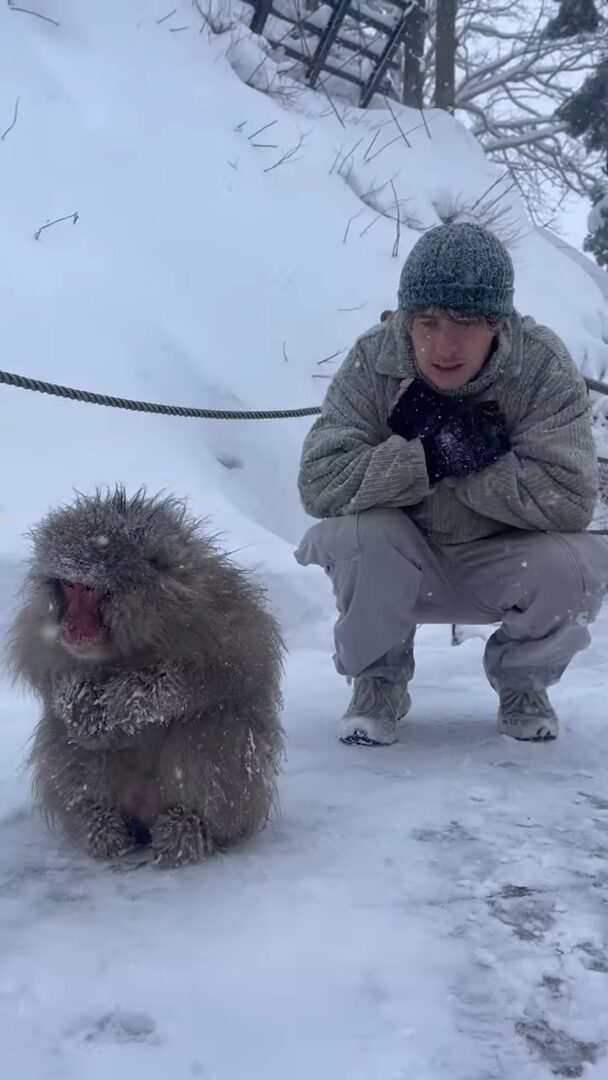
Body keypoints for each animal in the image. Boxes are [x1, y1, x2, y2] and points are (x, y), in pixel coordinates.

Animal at [7, 490, 285, 868]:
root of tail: (143, 814)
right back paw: (98, 823)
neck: (132, 638)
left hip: (234, 807)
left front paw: (133, 696)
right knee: (66, 735)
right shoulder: (43, 626)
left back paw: (188, 827)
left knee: (215, 723)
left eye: (90, 590)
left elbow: (241, 661)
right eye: (69, 585)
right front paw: (79, 699)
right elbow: (41, 667)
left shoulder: (210, 603)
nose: (72, 627)